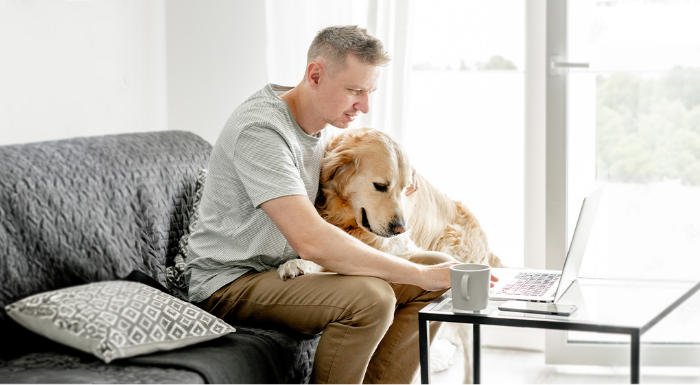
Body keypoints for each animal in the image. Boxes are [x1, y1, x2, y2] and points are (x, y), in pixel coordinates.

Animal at [278, 128, 504, 384]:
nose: (400, 228)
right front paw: (299, 263)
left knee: (469, 346)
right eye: (380, 186)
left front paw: (301, 263)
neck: (347, 217)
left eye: (406, 188)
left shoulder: (397, 246)